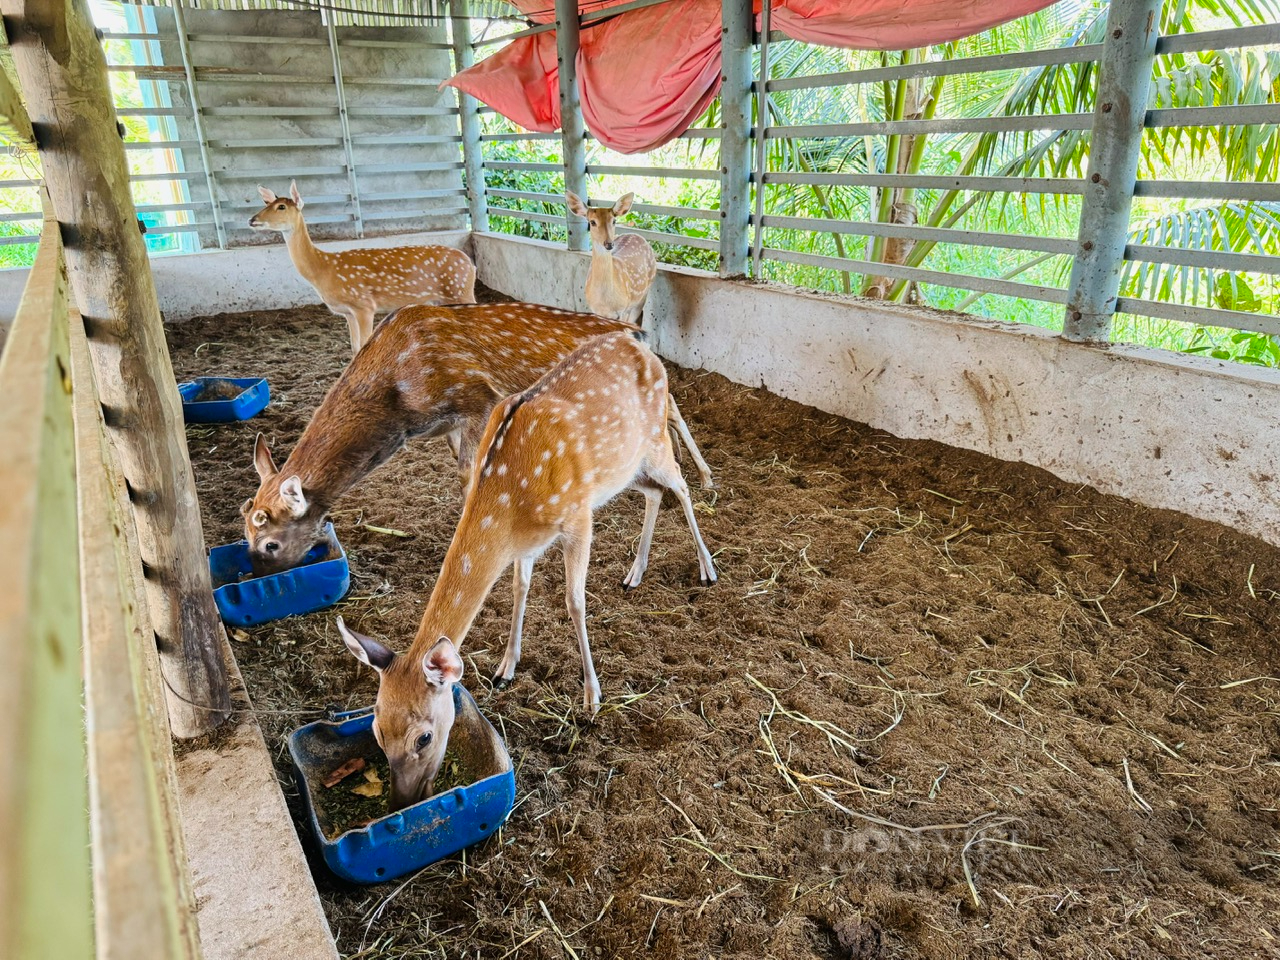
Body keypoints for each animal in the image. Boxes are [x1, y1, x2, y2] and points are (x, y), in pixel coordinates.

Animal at [244, 304, 716, 578]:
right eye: (244, 535)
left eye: (269, 542)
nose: (256, 574)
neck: (400, 404)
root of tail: (638, 333)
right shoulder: (451, 425)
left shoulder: (477, 401)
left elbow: (472, 477)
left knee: (673, 412)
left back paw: (707, 476)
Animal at [245, 181, 476, 353]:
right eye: (266, 204)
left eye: (281, 207)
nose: (252, 219)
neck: (324, 269)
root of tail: (471, 265)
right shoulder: (348, 312)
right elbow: (355, 348)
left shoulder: (364, 304)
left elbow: (364, 345)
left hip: (459, 291)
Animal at [335, 330, 721, 814]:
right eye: (375, 730)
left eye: (423, 737)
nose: (402, 802)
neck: (509, 500)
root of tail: (645, 349)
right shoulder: (527, 543)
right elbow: (520, 588)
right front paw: (505, 668)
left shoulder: (577, 517)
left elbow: (574, 601)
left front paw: (592, 698)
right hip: (625, 465)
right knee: (654, 493)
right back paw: (635, 571)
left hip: (654, 441)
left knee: (682, 486)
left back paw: (707, 567)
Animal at [565, 192, 655, 327]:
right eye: (592, 222)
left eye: (614, 221)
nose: (609, 244)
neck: (606, 301)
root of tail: (637, 234)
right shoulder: (596, 310)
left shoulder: (623, 309)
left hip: (643, 293)